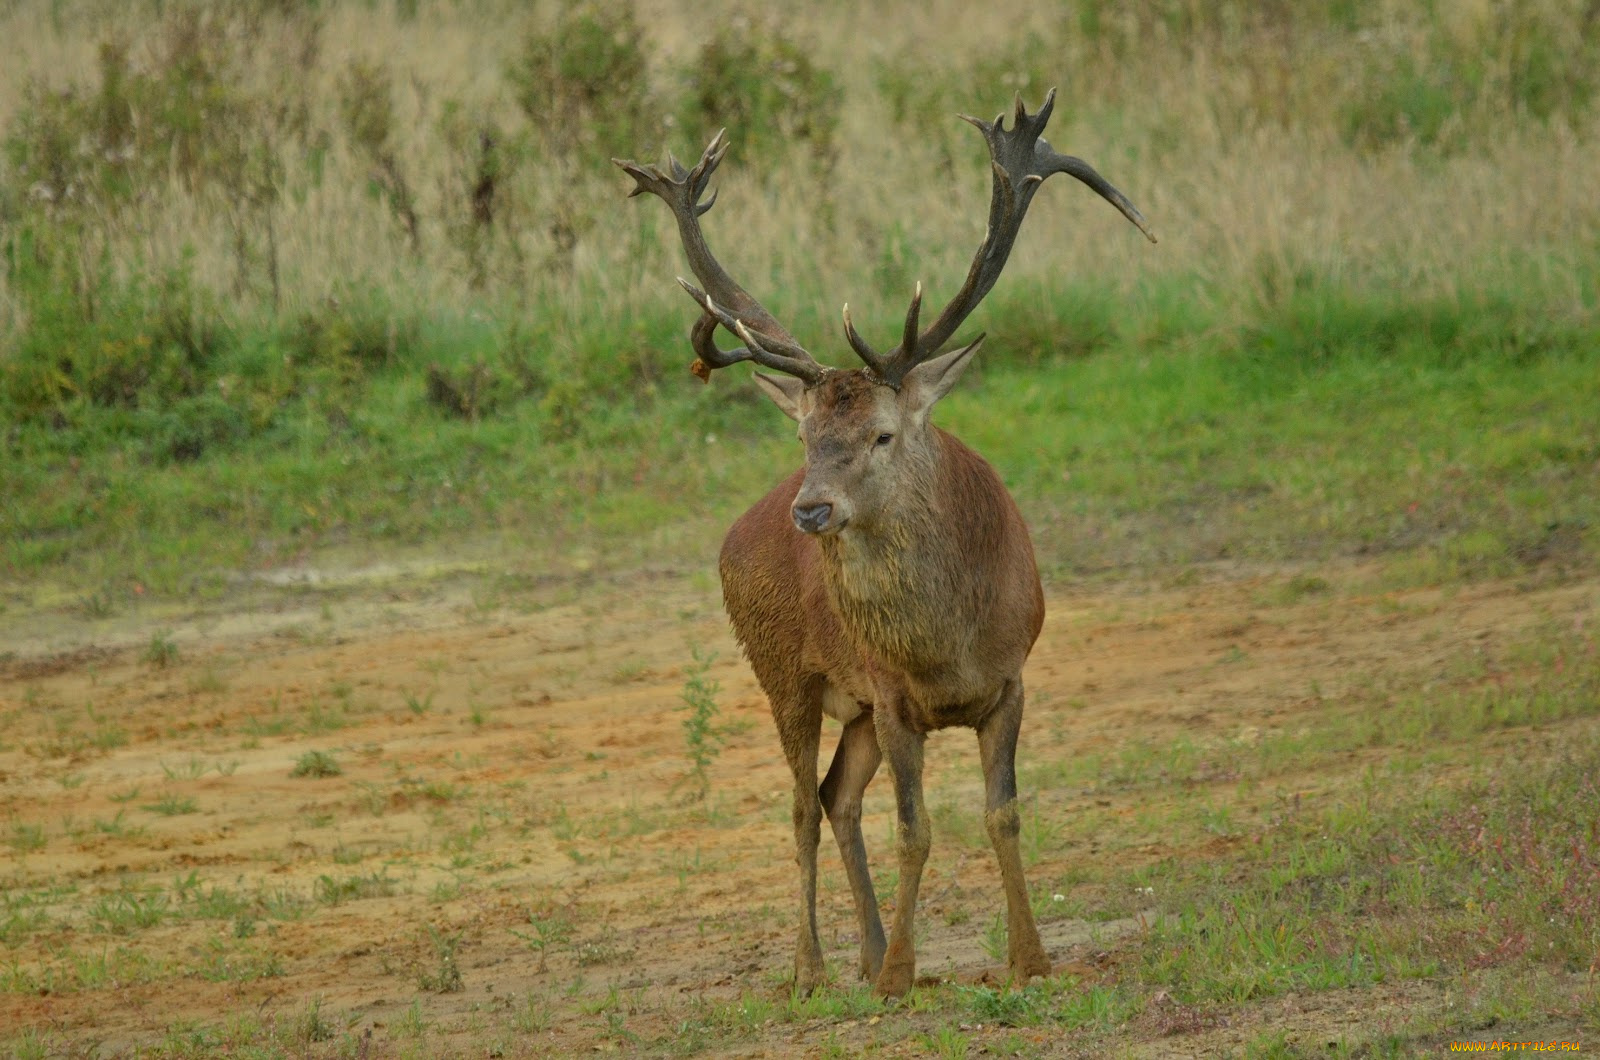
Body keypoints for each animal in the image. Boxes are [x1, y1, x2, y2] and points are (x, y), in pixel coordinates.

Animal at [611, 89, 1152, 999]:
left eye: (883, 434)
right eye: (804, 436)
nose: (811, 511)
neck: (947, 646)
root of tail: (738, 530)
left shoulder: (1010, 678)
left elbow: (1003, 813)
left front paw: (1028, 958)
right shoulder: (895, 697)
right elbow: (918, 827)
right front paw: (901, 971)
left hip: (853, 705)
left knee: (837, 795)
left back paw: (862, 953)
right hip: (783, 671)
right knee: (801, 803)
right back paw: (814, 968)